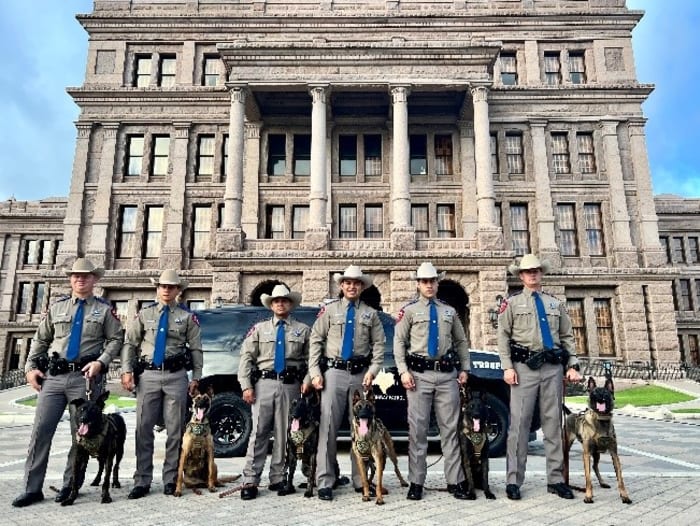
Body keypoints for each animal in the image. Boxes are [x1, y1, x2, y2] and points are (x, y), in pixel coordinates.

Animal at [568, 378, 632, 506]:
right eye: (595, 392)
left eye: (606, 392)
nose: (601, 396)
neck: (601, 418)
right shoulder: (586, 454)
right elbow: (588, 478)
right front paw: (588, 496)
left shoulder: (614, 454)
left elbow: (620, 479)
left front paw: (624, 496)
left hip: (597, 454)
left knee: (595, 466)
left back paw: (602, 482)